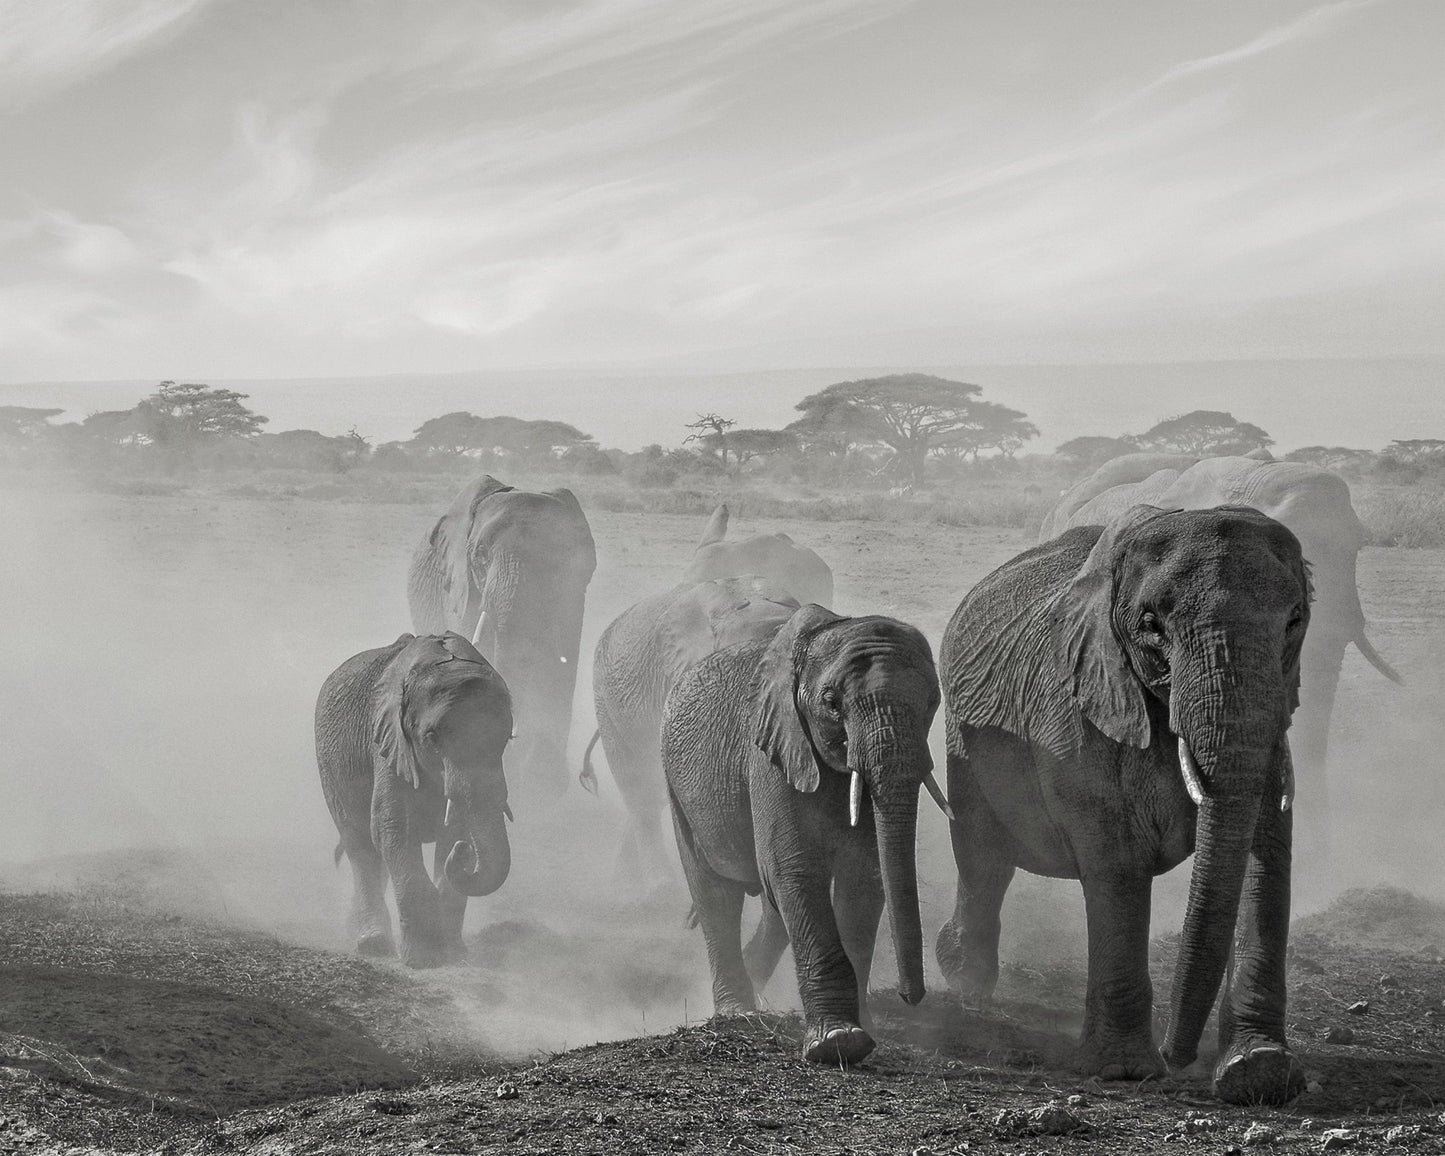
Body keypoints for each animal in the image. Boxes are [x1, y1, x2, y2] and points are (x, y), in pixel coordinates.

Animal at [316, 632, 513, 968]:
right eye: (432, 738)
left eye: (507, 737)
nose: (465, 852)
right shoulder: (387, 740)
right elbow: (393, 826)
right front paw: (424, 959)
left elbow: (455, 829)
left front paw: (453, 954)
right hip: (329, 768)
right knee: (360, 847)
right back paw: (373, 944)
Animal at [408, 475, 595, 799]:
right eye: (481, 556)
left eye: (557, 559)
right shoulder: (462, 589)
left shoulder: (573, 594)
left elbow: (561, 668)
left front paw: (542, 783)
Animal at [662, 604, 943, 1065]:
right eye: (831, 703)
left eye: (934, 701)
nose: (911, 997)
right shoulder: (770, 751)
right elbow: (796, 869)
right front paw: (838, 1042)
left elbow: (863, 878)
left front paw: (862, 1030)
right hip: (676, 787)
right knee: (716, 893)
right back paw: (738, 1013)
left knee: (771, 905)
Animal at [934, 505, 1311, 1104]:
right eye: (1152, 624)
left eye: (1295, 621)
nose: (1178, 1057)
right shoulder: (1079, 712)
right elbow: (1116, 865)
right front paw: (1124, 1071)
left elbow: (1266, 856)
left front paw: (1259, 1071)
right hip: (962, 736)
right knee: (982, 854)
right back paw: (967, 983)